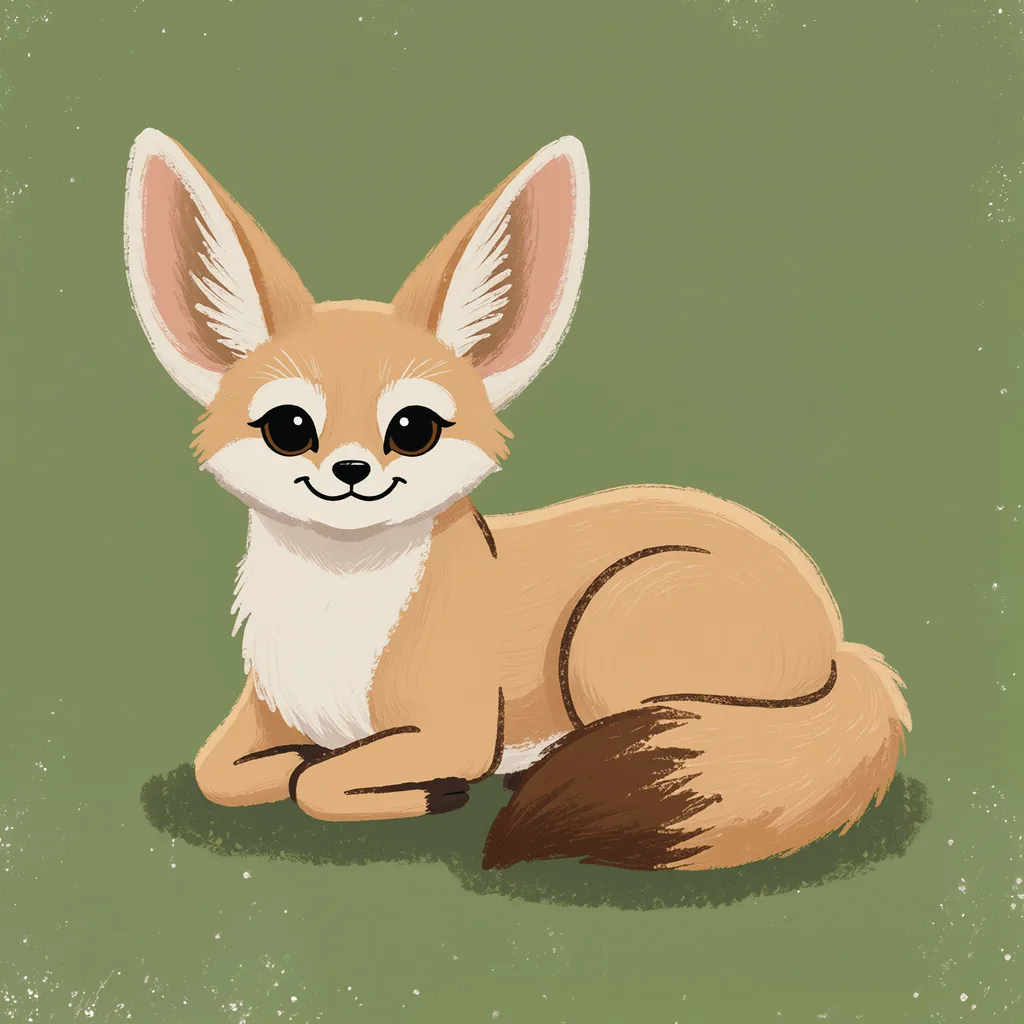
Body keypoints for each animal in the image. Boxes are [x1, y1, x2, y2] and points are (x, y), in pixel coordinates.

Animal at [123, 127, 911, 872]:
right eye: (289, 428)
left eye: (412, 428)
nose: (350, 470)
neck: (334, 616)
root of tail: (843, 643)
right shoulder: (265, 712)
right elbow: (220, 772)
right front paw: (303, 766)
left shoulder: (454, 729)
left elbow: (314, 784)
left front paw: (421, 793)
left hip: (608, 629)